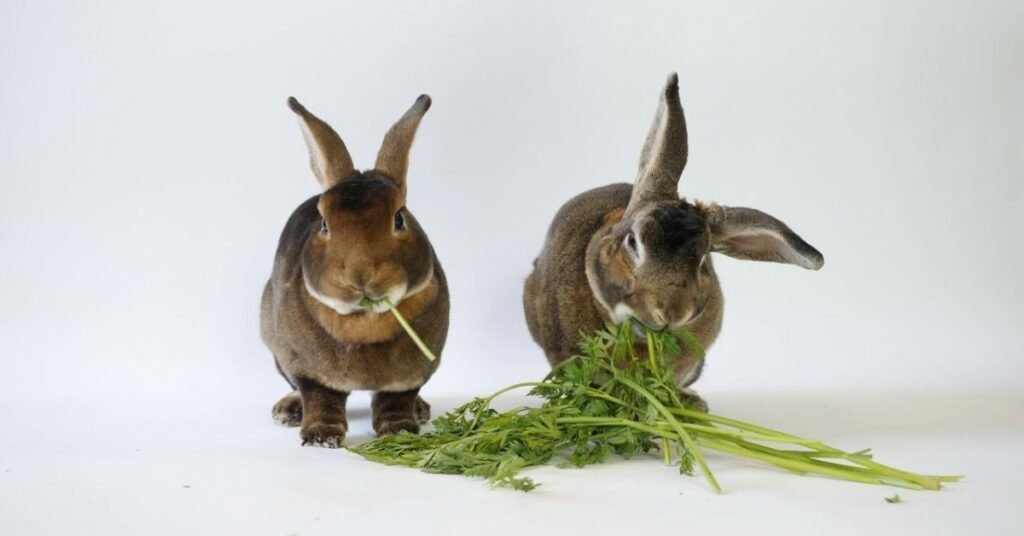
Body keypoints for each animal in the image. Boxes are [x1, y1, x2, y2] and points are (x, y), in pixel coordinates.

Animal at [261, 94, 449, 448]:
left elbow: (394, 400)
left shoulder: (408, 377)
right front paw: (321, 438)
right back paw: (288, 411)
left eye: (399, 218)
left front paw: (400, 431)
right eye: (324, 223)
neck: (365, 319)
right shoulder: (308, 369)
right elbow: (321, 398)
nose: (360, 276)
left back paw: (421, 409)